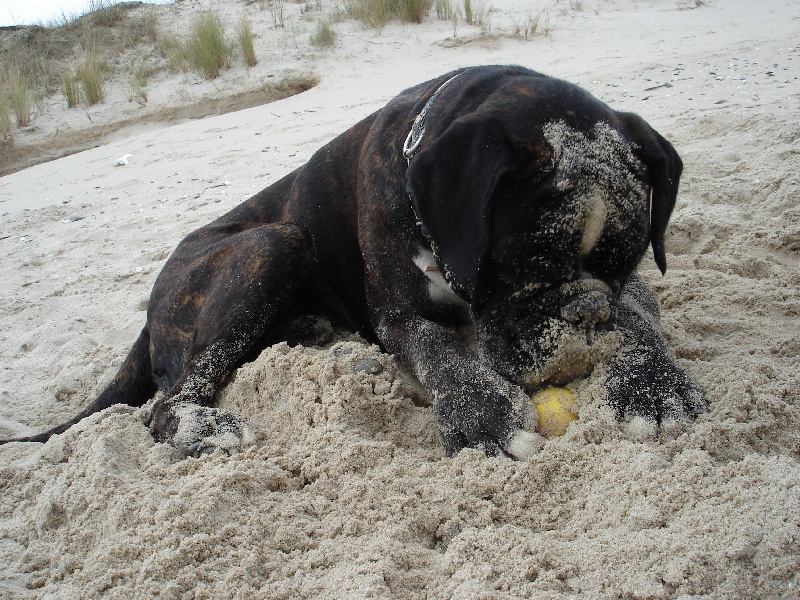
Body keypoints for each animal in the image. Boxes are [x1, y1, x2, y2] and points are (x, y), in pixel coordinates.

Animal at [1, 65, 700, 458]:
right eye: (519, 266)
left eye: (627, 261)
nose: (585, 313)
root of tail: (152, 305)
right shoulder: (400, 314)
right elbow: (442, 353)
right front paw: (487, 421)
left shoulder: (634, 289)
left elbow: (641, 317)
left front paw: (654, 388)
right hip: (274, 243)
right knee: (165, 403)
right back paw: (205, 429)